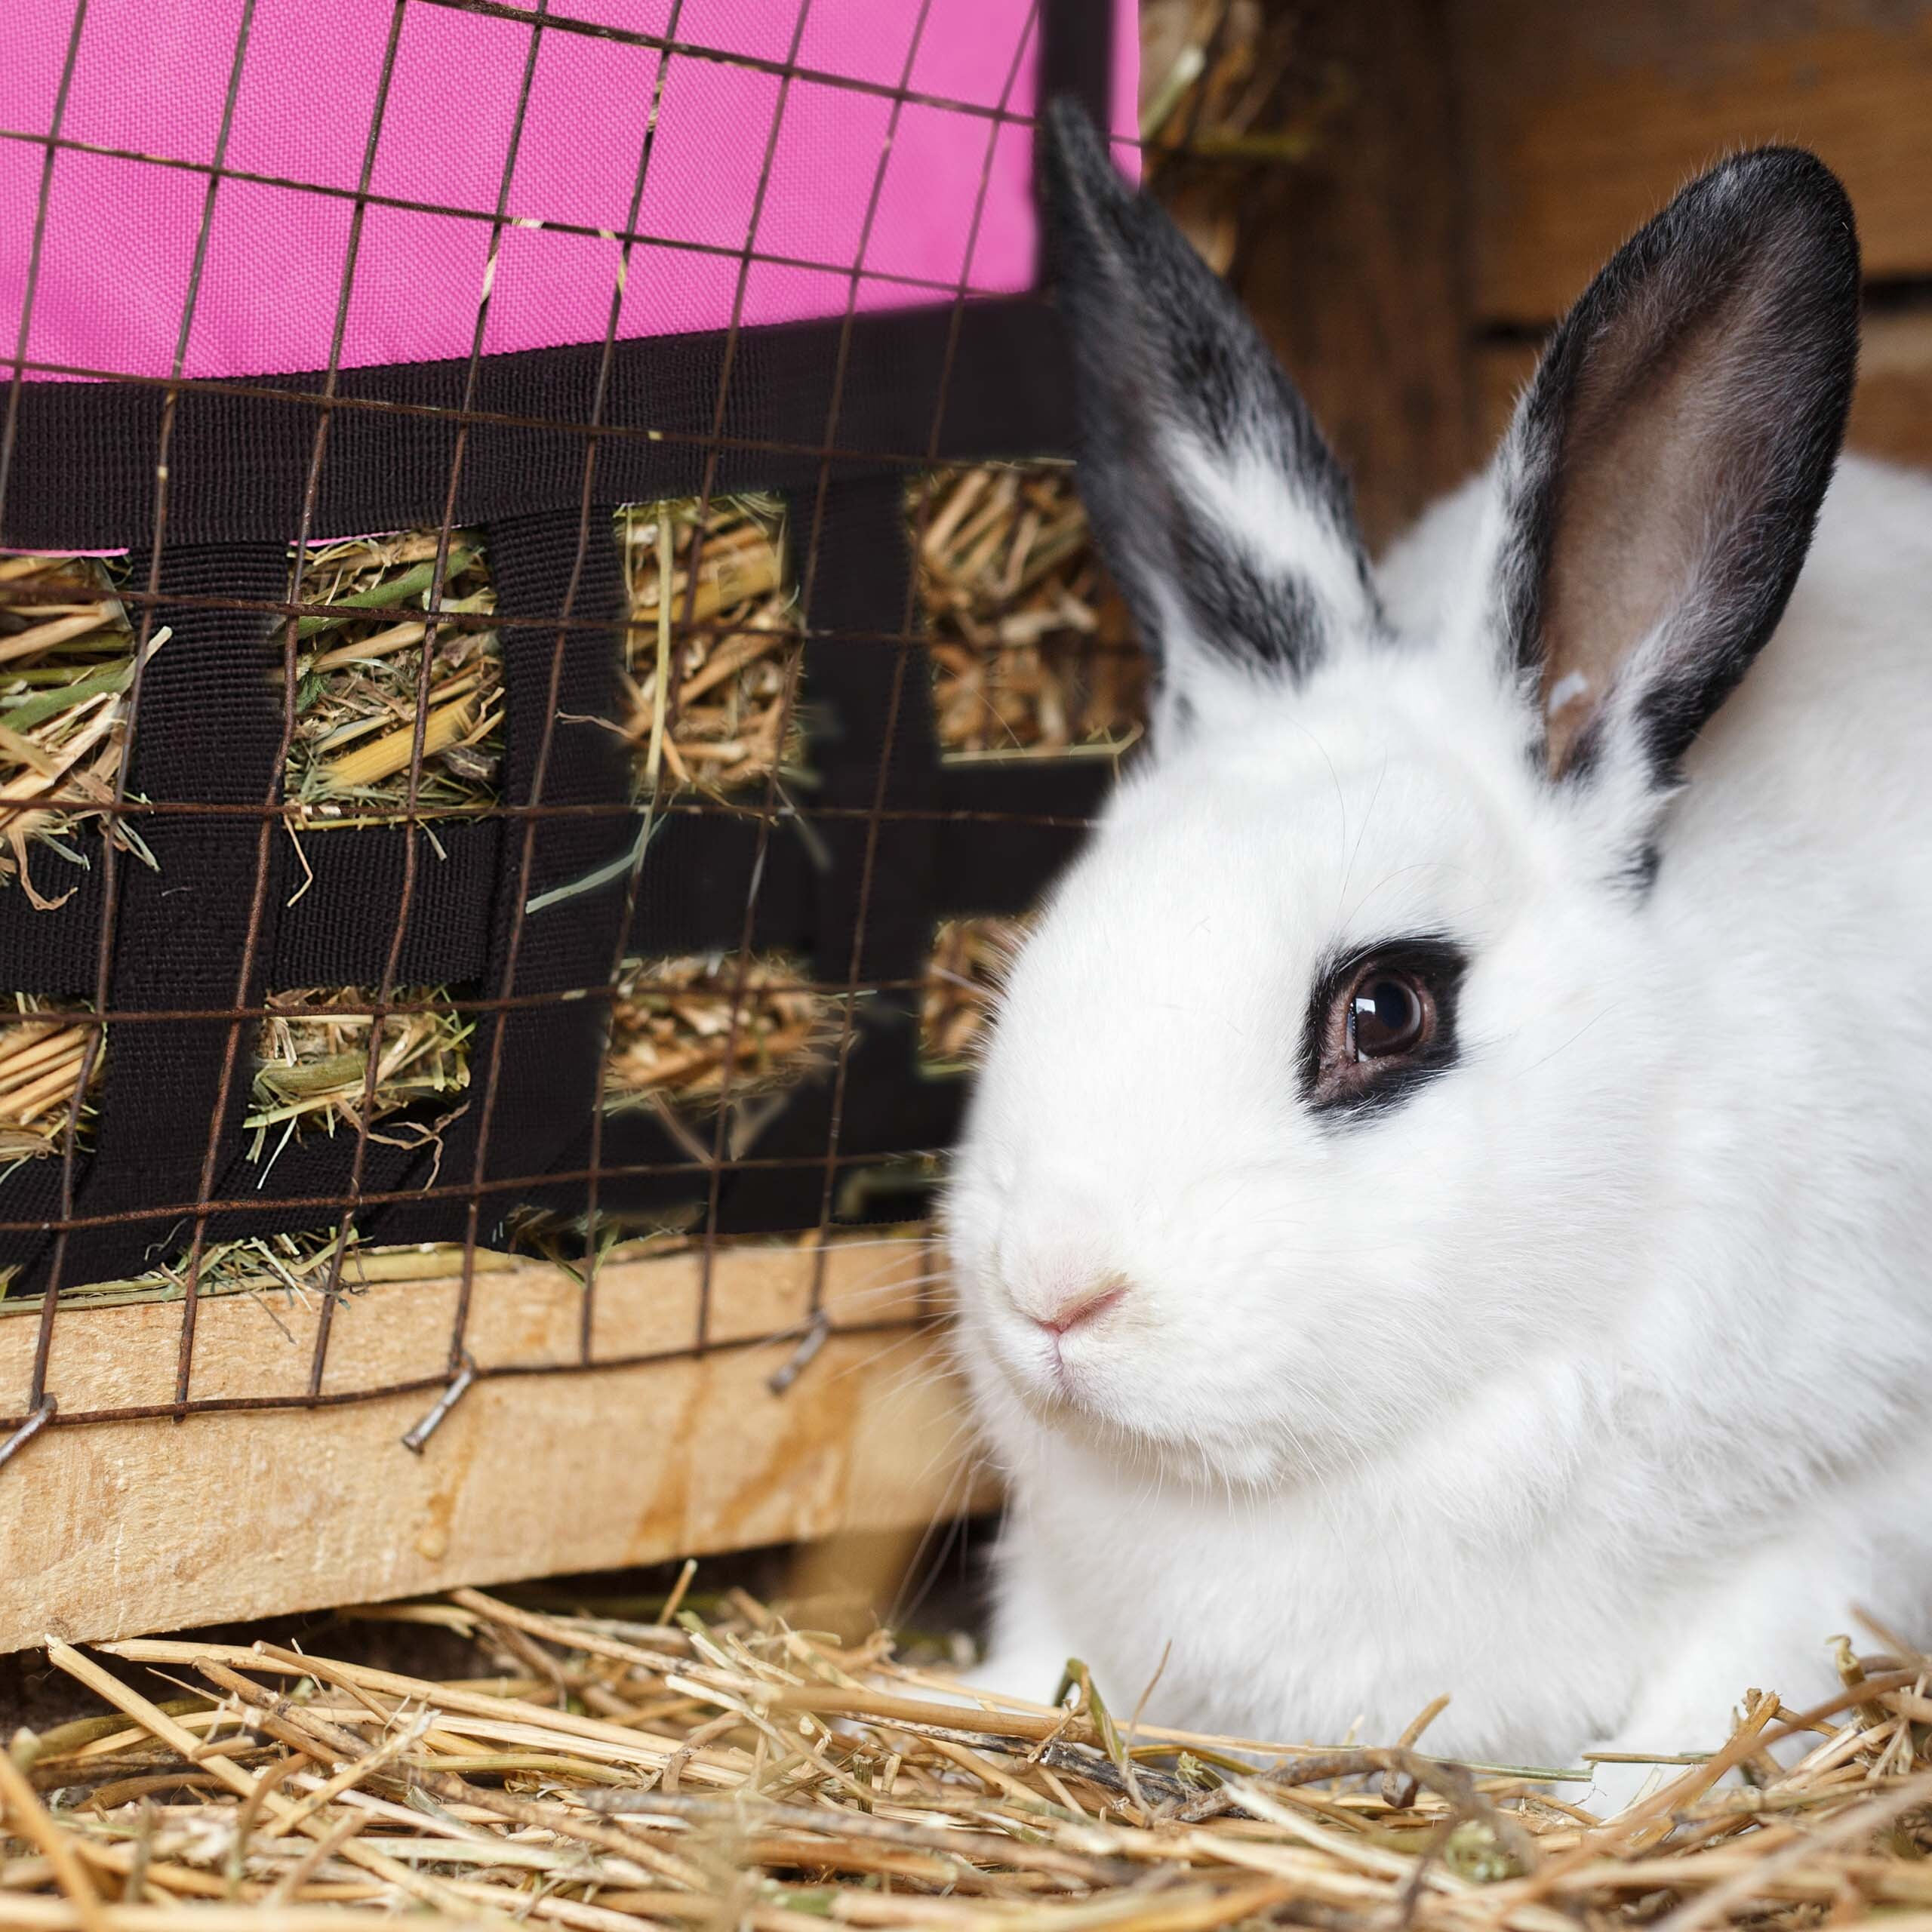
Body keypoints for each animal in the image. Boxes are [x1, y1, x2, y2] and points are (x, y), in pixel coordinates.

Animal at [943, 97, 1932, 1812]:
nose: (1055, 1291)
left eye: (1387, 1008)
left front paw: (1611, 1806)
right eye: (1067, 923)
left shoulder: (1850, 1515)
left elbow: (1730, 1683)